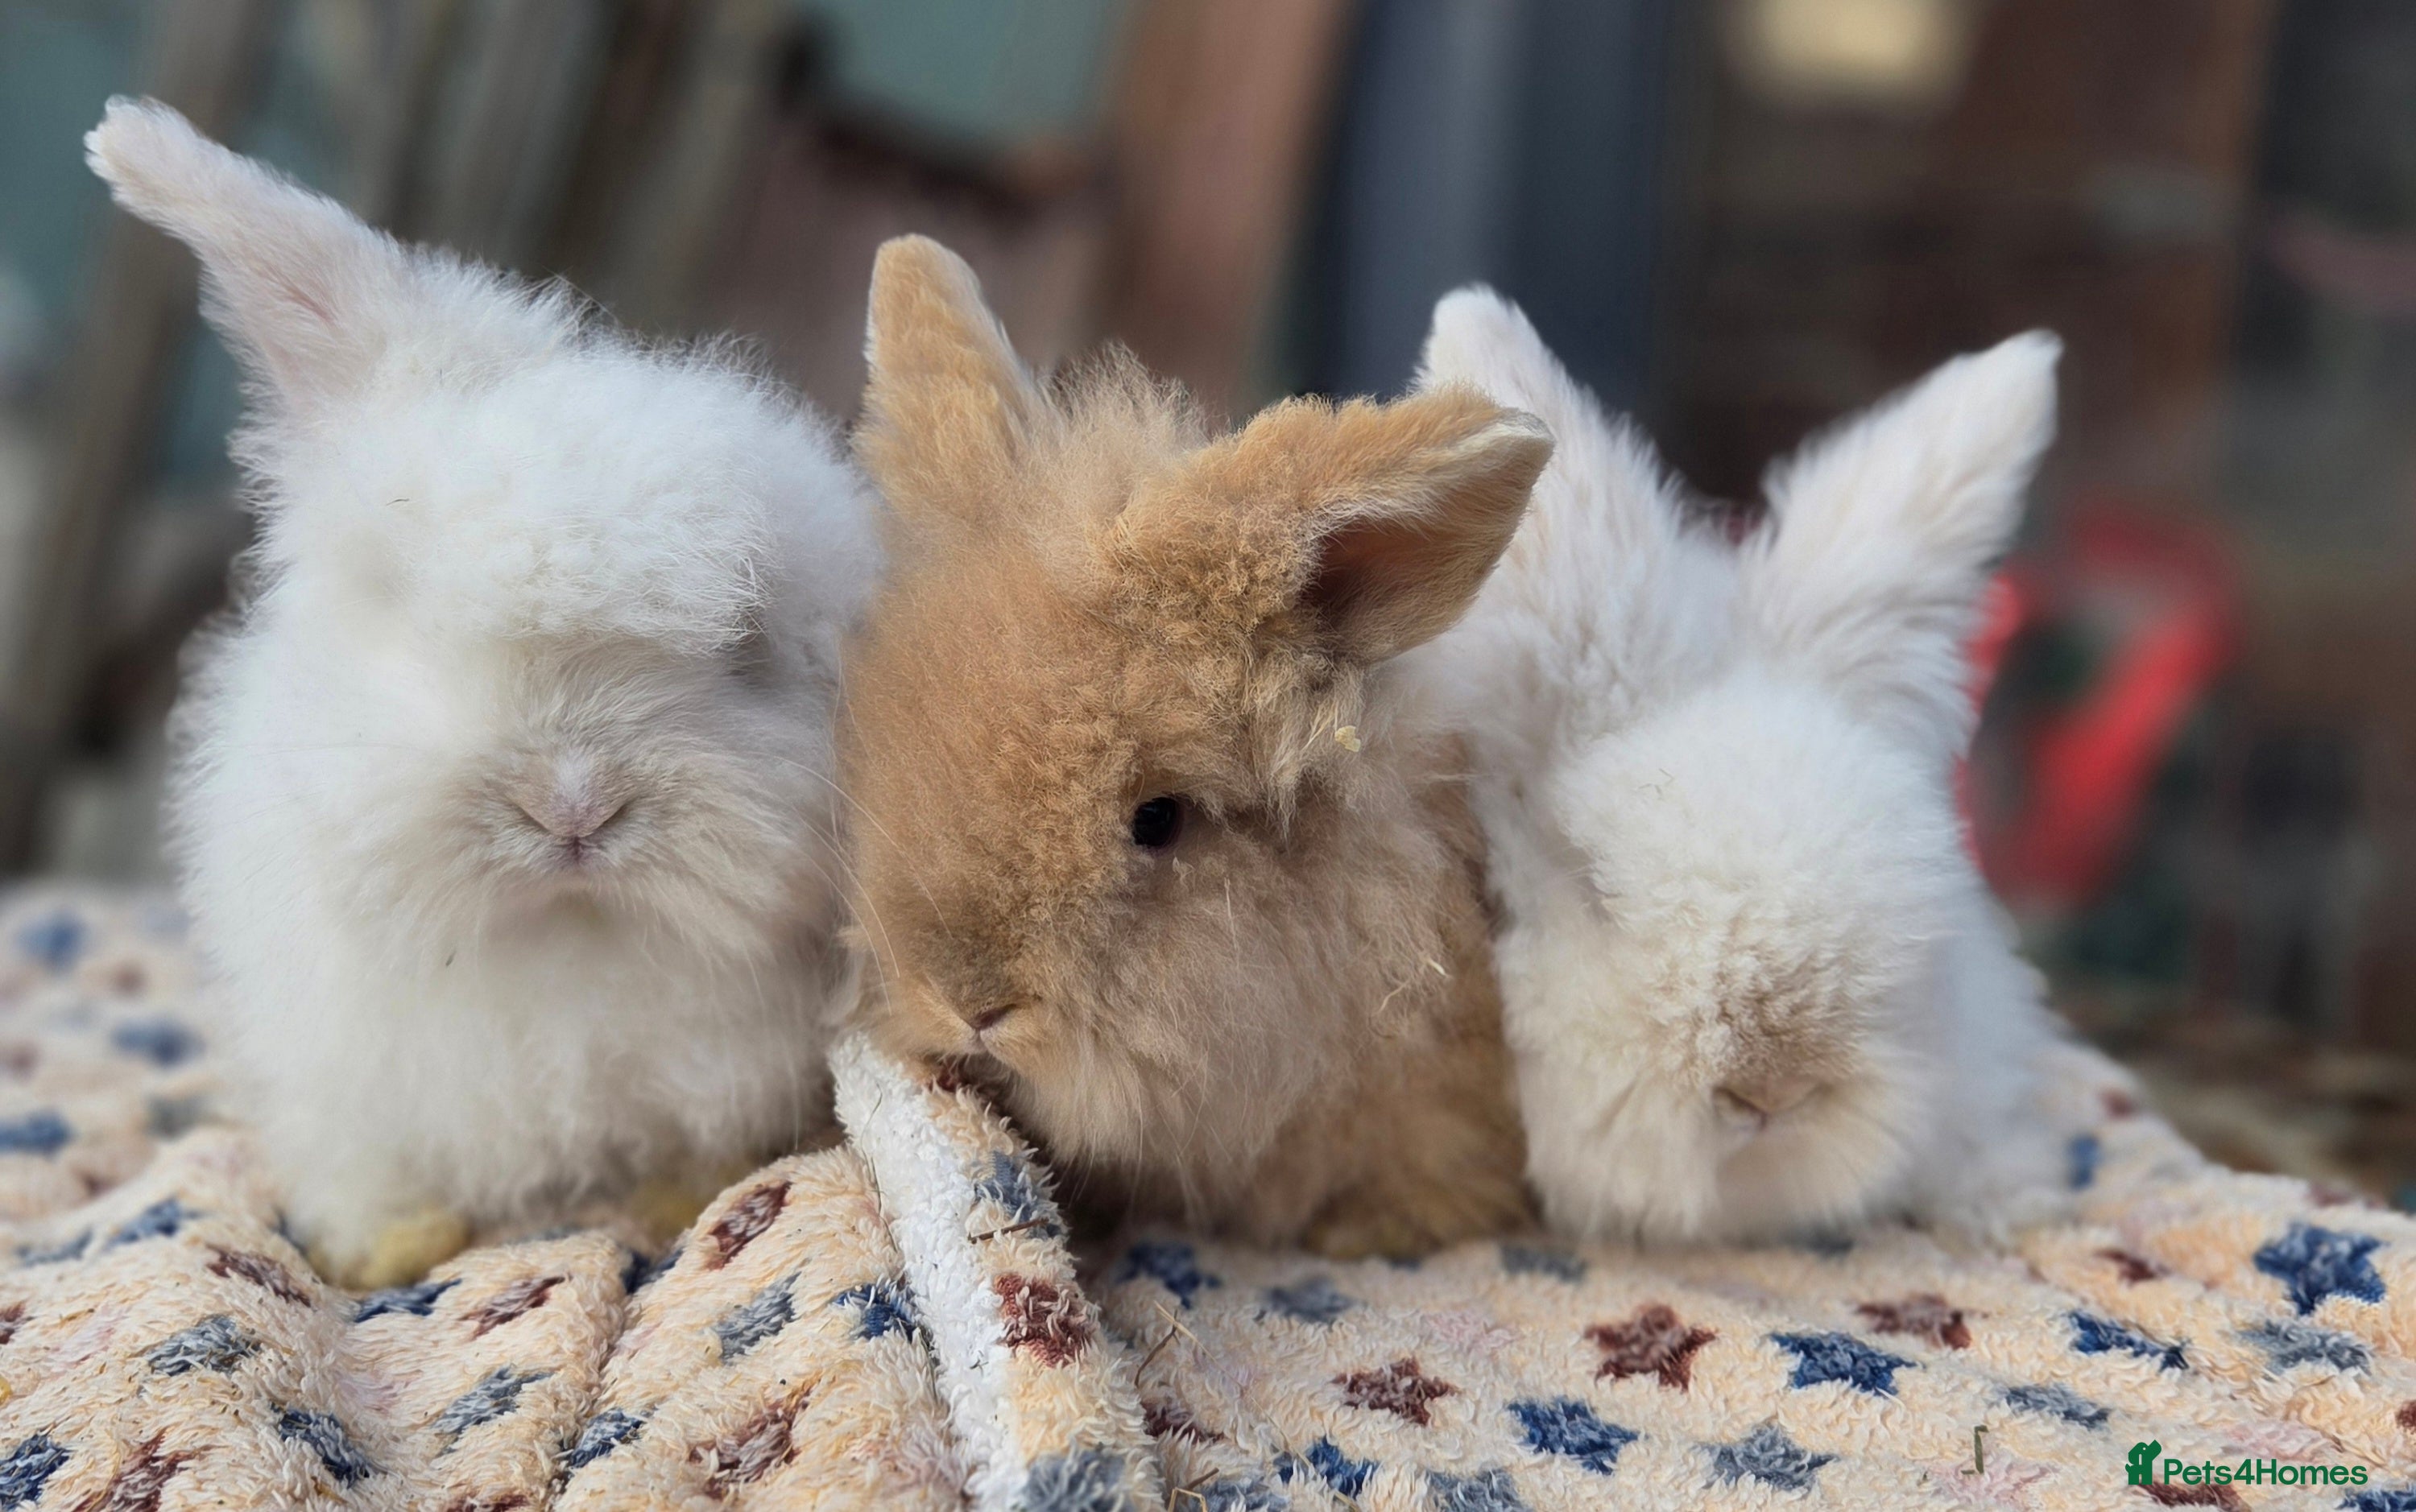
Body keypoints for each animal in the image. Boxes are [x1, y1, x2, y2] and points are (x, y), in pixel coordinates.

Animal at [88, 99, 881, 1287]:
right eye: (402, 602)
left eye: (746, 647)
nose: (573, 805)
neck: (560, 945)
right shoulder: (335, 1060)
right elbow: (364, 1164)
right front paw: (376, 1251)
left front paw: (683, 1202)